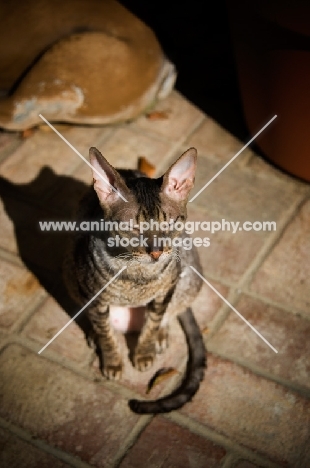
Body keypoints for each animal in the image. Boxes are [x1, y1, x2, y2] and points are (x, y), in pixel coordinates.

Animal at [63, 146, 206, 414]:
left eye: (170, 224)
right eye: (132, 229)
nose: (157, 252)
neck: (137, 276)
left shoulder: (165, 291)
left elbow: (152, 324)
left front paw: (143, 353)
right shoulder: (94, 296)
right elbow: (106, 333)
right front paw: (112, 362)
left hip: (190, 275)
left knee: (170, 312)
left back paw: (161, 335)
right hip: (70, 272)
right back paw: (93, 334)